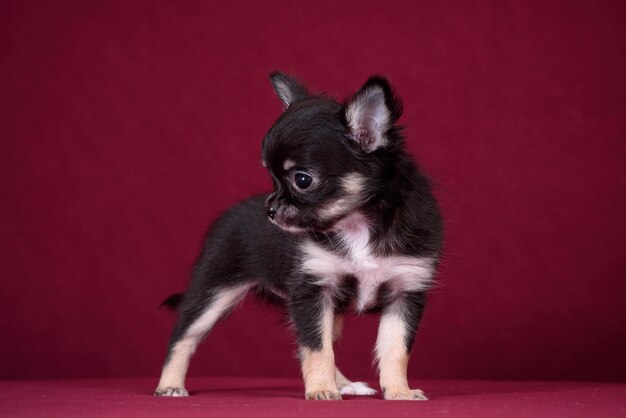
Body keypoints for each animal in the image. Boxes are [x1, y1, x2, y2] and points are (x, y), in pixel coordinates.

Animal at [154, 73, 442, 400]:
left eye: (302, 180)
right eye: (272, 177)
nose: (270, 208)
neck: (356, 224)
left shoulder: (404, 292)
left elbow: (395, 349)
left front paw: (399, 391)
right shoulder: (314, 290)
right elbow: (316, 348)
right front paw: (321, 390)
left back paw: (344, 383)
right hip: (213, 289)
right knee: (183, 335)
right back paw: (170, 384)